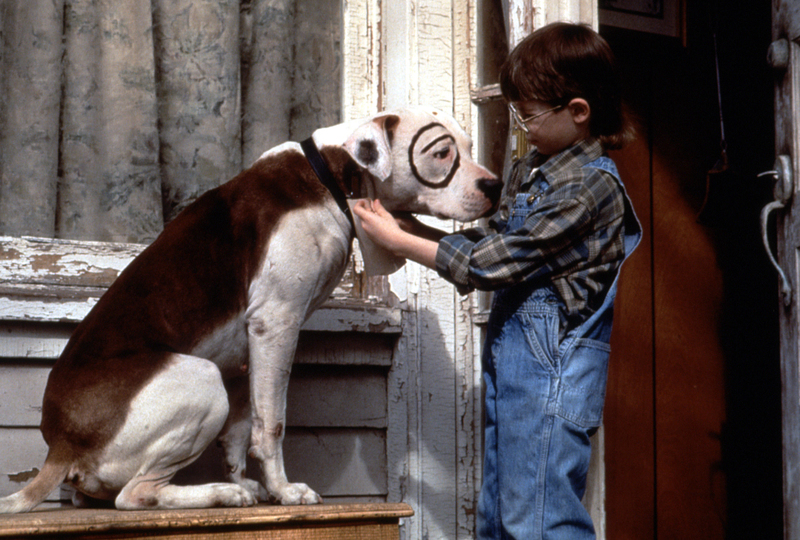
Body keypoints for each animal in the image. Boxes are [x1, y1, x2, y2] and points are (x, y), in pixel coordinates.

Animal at [0, 107, 500, 512]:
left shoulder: (248, 351)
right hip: (200, 378)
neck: (331, 176)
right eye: (441, 153)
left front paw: (252, 484)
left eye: (469, 146)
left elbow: (242, 431)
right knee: (135, 495)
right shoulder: (276, 325)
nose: (494, 185)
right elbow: (271, 424)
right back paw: (221, 495)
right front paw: (284, 491)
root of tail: (61, 442)